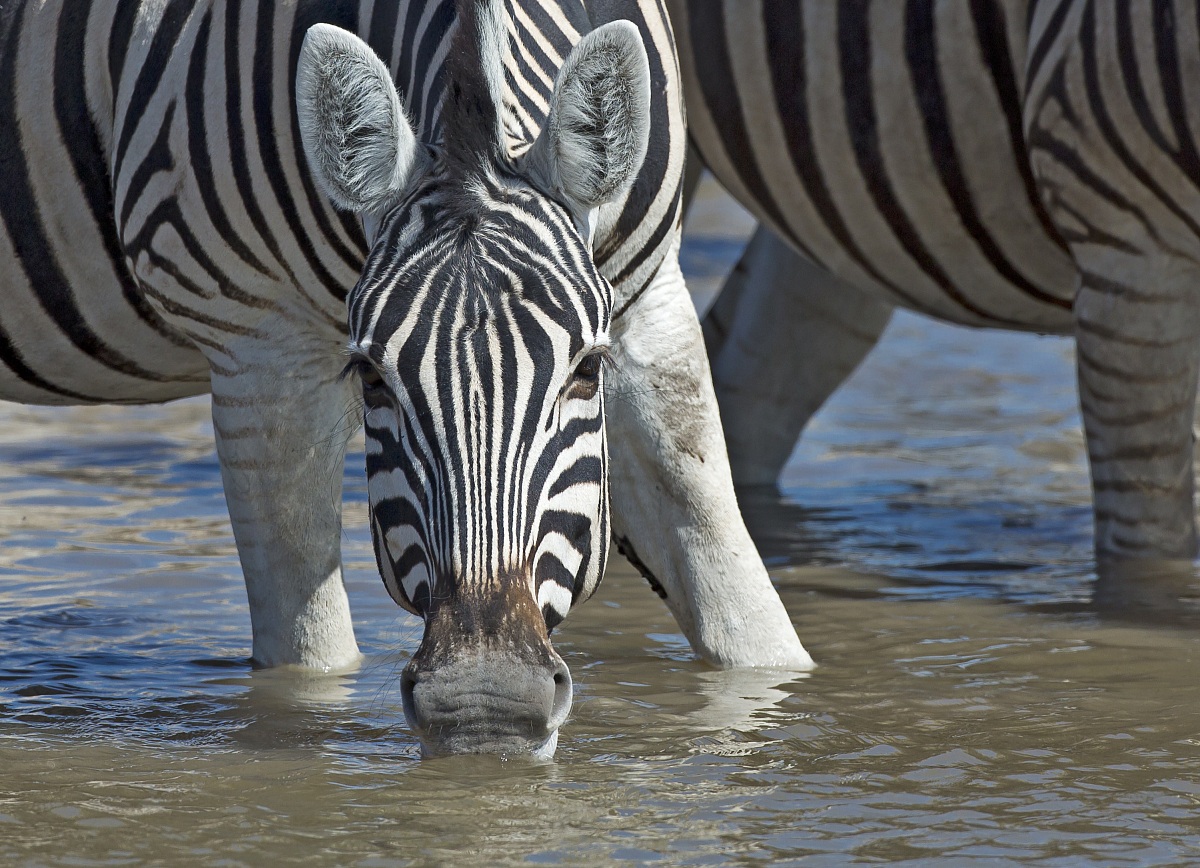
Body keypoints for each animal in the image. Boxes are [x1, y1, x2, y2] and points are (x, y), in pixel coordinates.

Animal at [0, 0, 814, 756]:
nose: (485, 704)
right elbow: (310, 659)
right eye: (371, 378)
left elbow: (742, 604)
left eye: (587, 370)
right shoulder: (260, 345)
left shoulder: (650, 305)